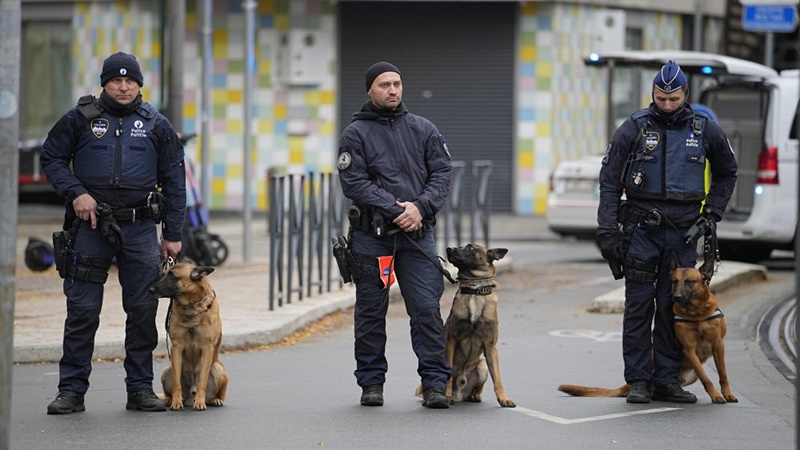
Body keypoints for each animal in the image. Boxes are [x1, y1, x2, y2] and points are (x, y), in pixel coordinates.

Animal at [149, 260, 228, 412]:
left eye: (172, 276)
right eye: (163, 274)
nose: (150, 290)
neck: (192, 307)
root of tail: (190, 397)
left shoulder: (207, 348)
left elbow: (202, 380)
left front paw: (200, 402)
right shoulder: (176, 348)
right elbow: (176, 383)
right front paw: (176, 401)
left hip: (218, 368)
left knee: (218, 393)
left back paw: (214, 400)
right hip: (167, 370)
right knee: (171, 387)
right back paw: (170, 400)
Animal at [556, 255, 736, 406]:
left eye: (690, 281)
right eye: (674, 281)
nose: (676, 297)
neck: (696, 314)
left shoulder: (718, 345)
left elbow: (723, 374)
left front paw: (727, 393)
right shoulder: (689, 349)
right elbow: (706, 378)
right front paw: (716, 395)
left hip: (691, 375)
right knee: (654, 389)